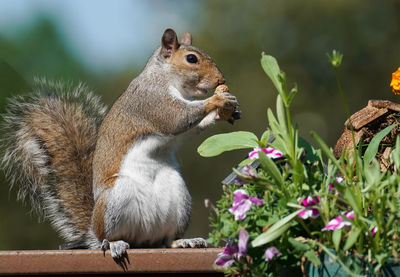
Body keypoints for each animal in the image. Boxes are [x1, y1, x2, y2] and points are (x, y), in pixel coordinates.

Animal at [0, 28, 238, 260]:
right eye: (191, 59)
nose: (221, 79)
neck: (165, 78)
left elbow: (188, 129)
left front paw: (223, 113)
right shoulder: (151, 102)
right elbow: (177, 118)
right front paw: (216, 101)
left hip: (178, 197)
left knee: (167, 239)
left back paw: (182, 241)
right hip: (115, 199)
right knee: (108, 237)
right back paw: (114, 244)